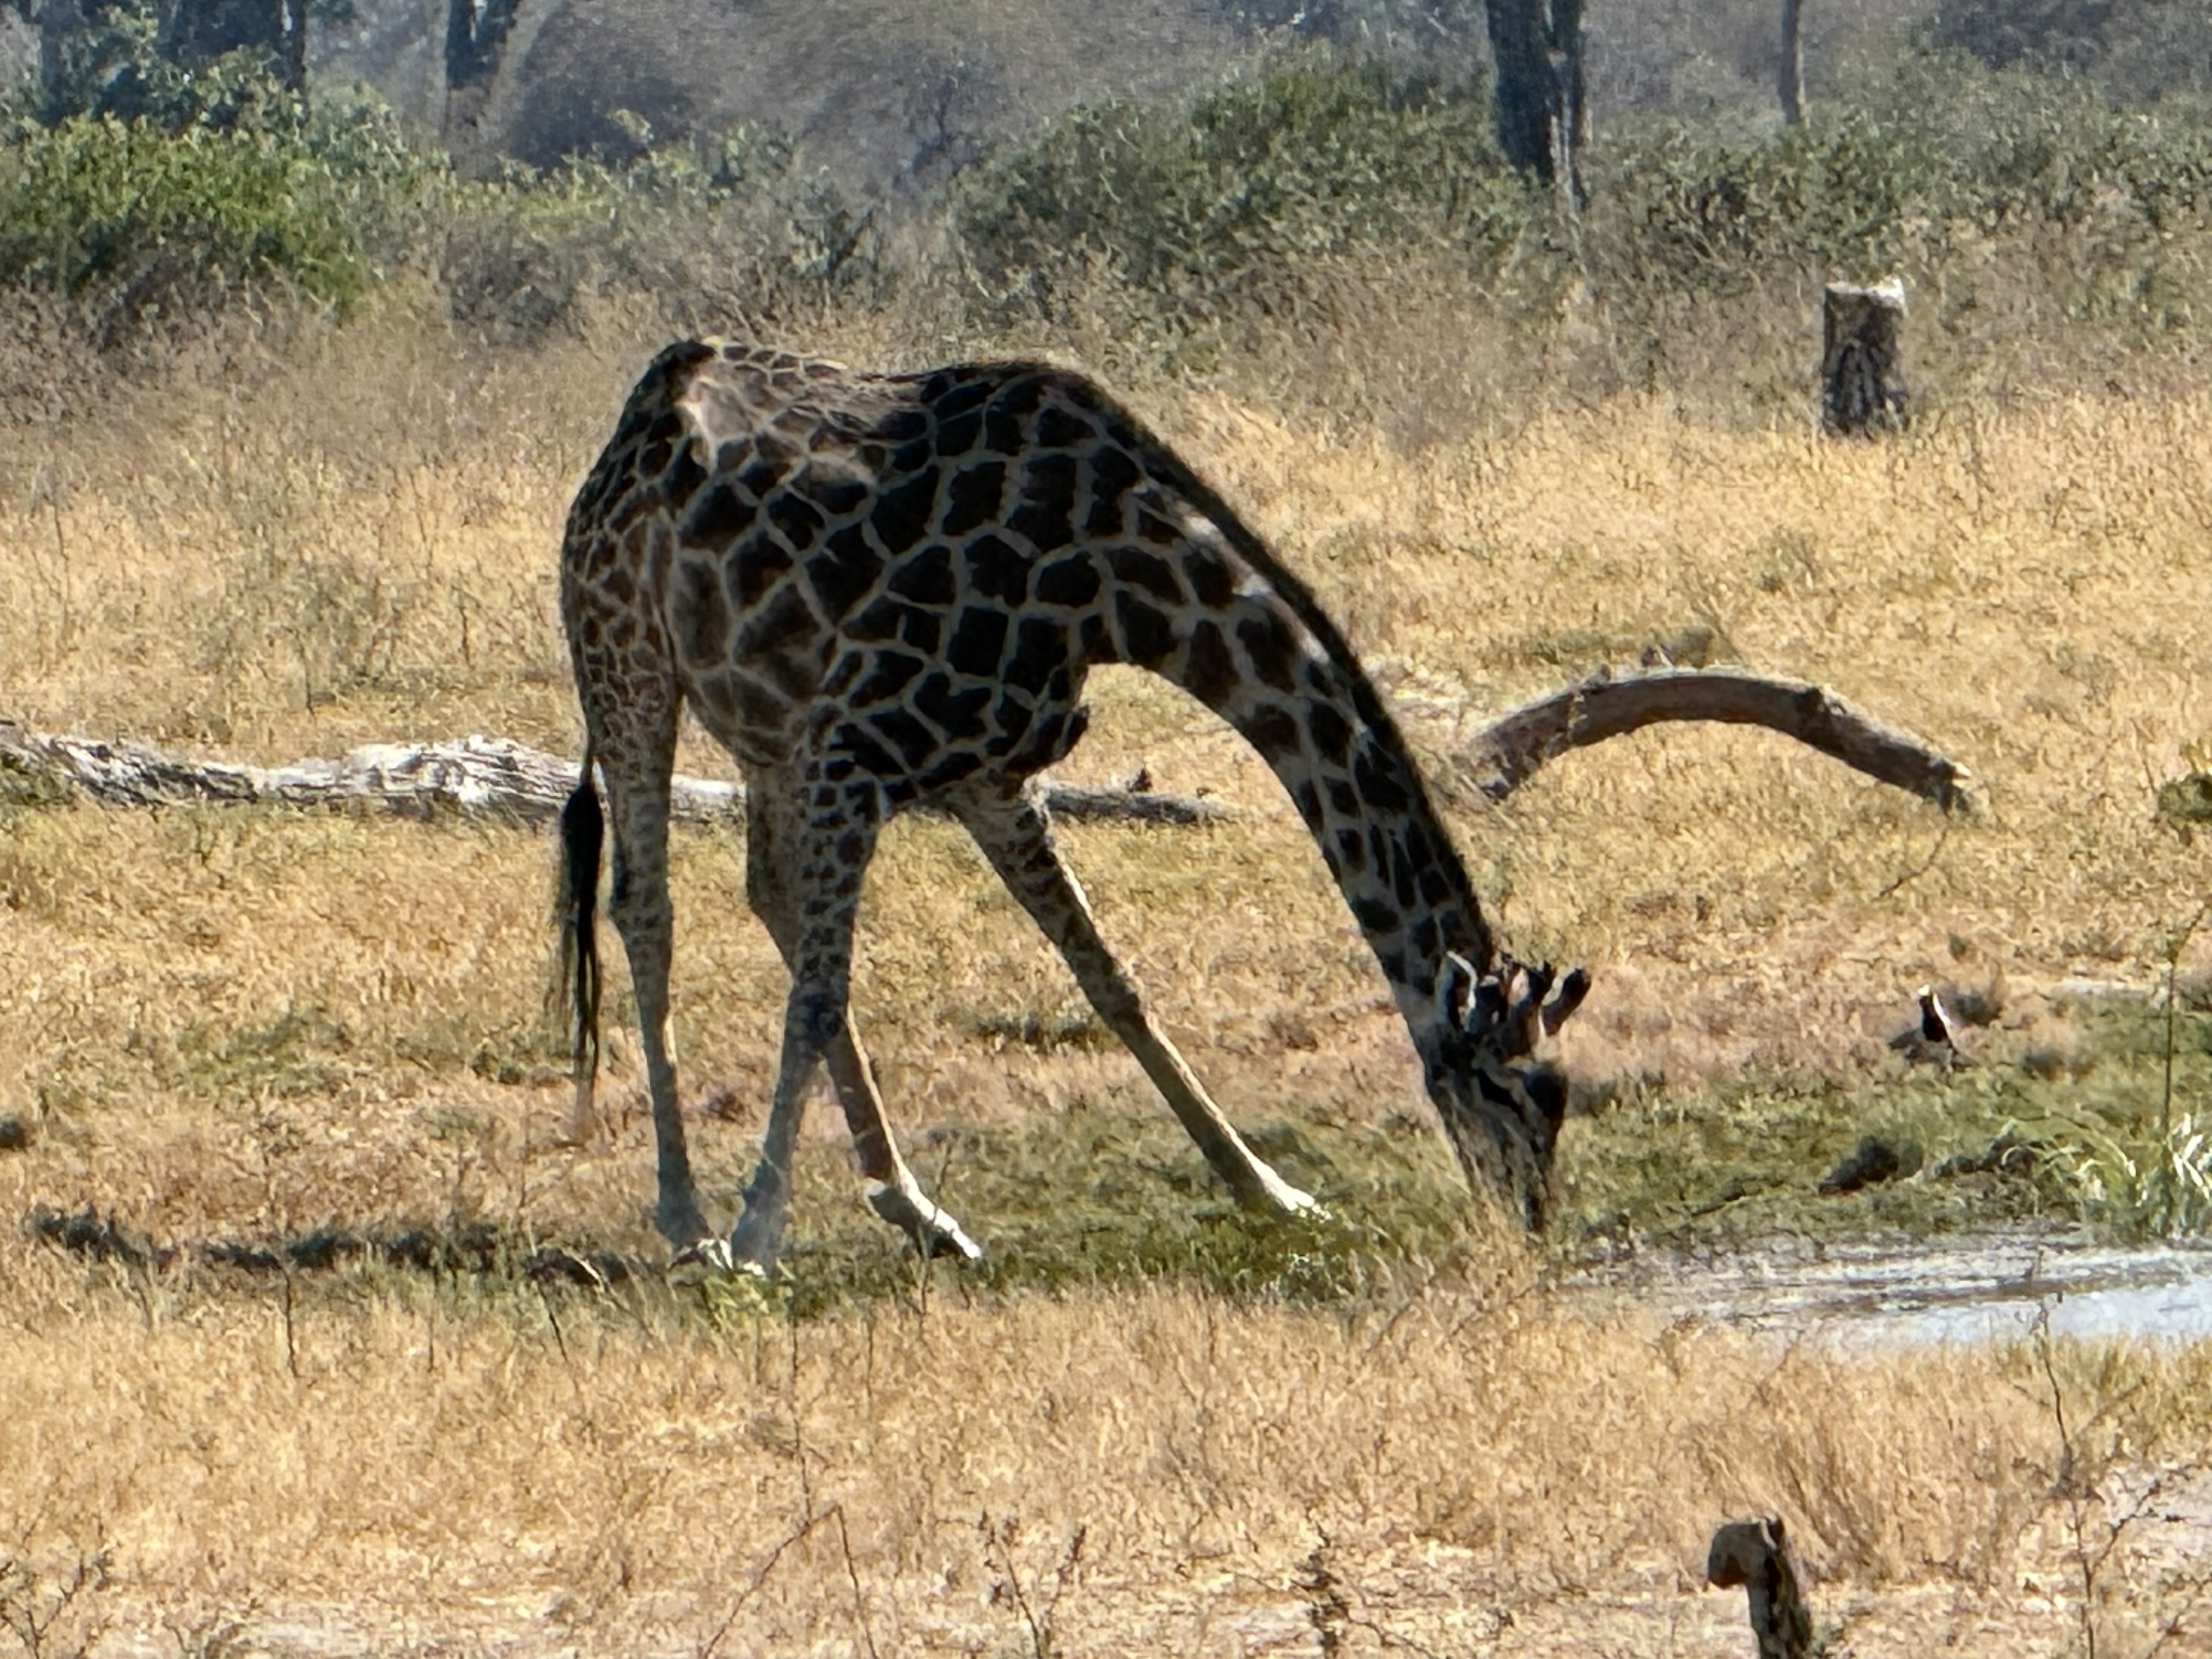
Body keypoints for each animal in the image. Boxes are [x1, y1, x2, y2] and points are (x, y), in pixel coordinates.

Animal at [557, 338, 1590, 1267]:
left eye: (1558, 1093)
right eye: (1507, 1090)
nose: (1527, 1222)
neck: (1122, 590)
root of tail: (637, 418)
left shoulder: (984, 775)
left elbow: (1109, 976)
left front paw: (1270, 1189)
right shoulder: (856, 747)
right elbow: (817, 995)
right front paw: (756, 1233)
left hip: (768, 726)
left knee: (766, 891)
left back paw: (920, 1213)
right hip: (627, 656)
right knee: (646, 906)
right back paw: (688, 1216)